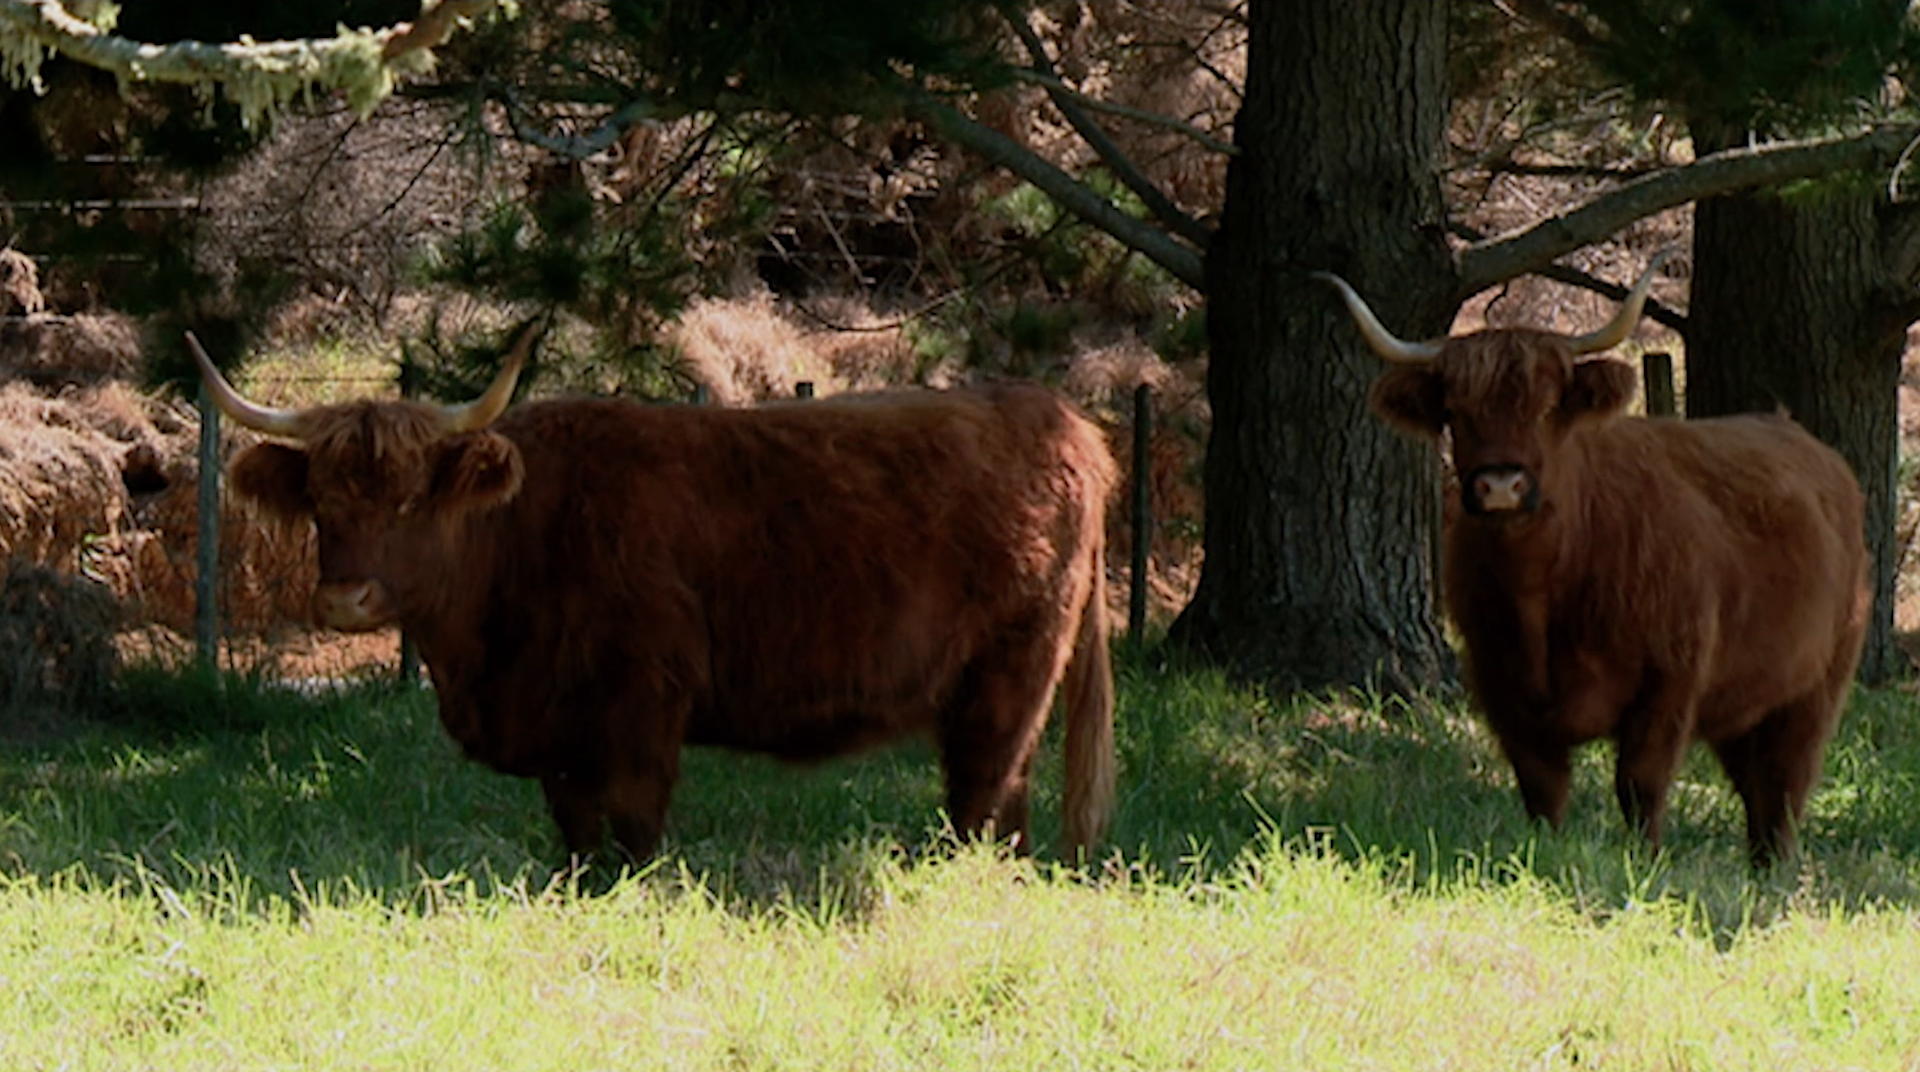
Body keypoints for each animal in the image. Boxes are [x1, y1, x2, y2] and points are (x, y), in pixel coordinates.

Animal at [188, 326, 1117, 863]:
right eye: (320, 501)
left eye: (413, 499)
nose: (346, 601)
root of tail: (1066, 422)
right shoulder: (562, 744)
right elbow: (577, 845)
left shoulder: (642, 712)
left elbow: (633, 840)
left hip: (1009, 679)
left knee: (982, 801)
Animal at [1314, 261, 1869, 866]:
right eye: (1455, 414)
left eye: (1547, 408)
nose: (1501, 485)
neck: (1541, 592)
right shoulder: (1504, 691)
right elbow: (1543, 792)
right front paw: (1544, 860)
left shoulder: (1669, 682)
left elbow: (1640, 784)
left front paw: (1645, 866)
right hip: (1747, 699)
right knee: (1756, 788)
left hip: (1816, 687)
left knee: (1783, 785)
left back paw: (1777, 869)